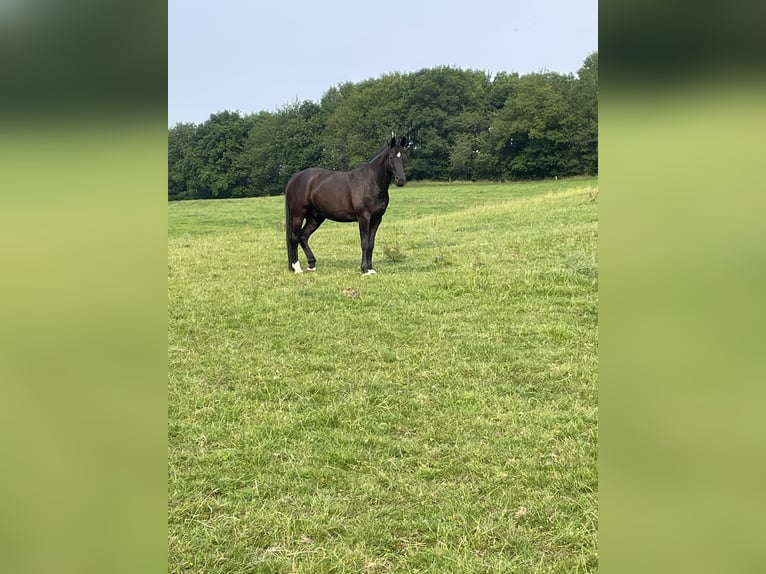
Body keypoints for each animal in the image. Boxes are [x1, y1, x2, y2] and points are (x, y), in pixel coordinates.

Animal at [285, 136, 407, 275]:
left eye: (403, 157)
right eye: (391, 157)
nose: (400, 180)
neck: (371, 182)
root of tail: (295, 178)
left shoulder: (377, 218)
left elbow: (371, 244)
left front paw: (371, 269)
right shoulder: (364, 217)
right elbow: (365, 243)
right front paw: (365, 269)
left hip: (315, 218)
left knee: (303, 237)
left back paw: (311, 264)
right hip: (298, 215)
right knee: (294, 237)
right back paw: (297, 268)